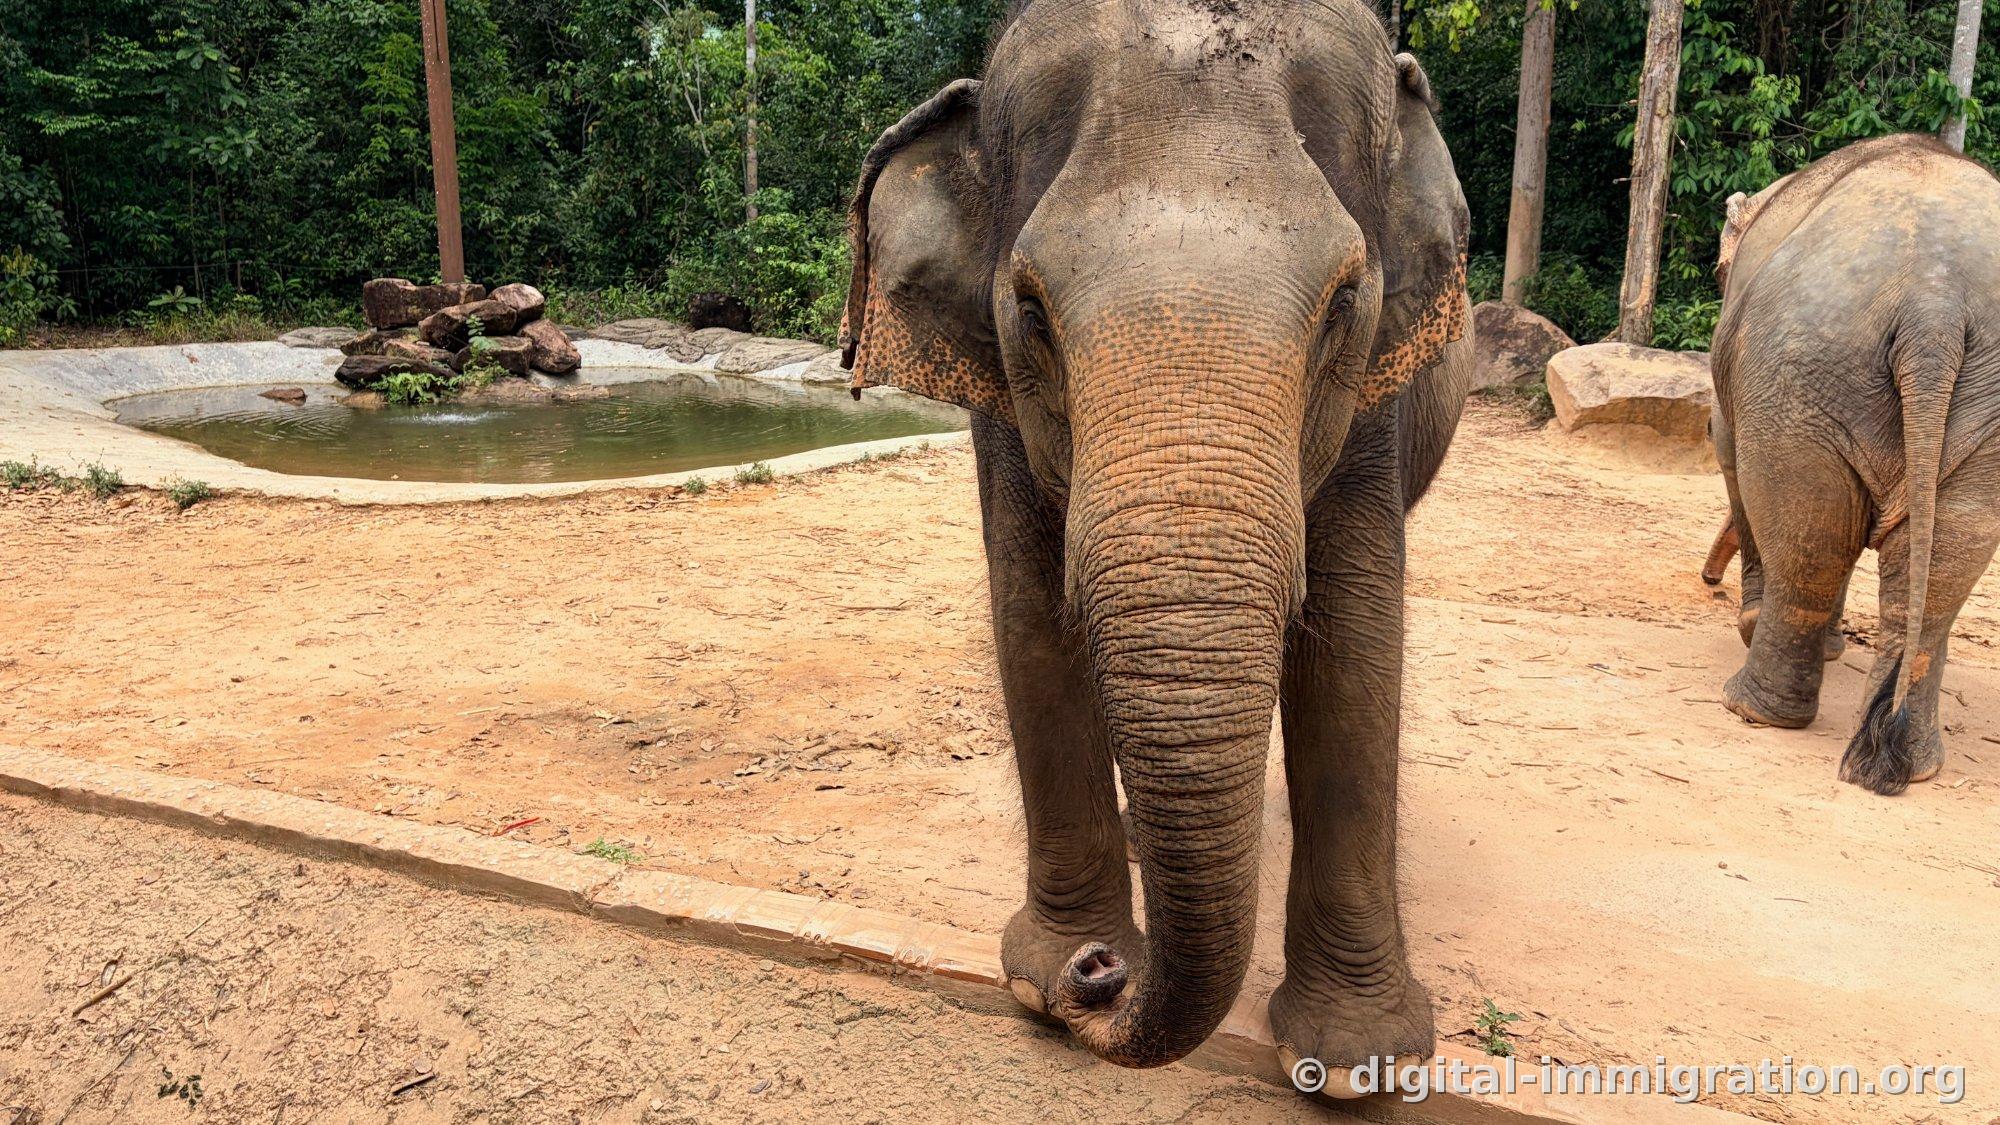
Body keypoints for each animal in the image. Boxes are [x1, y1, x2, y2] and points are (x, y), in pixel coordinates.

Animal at [839, 0, 1474, 1078]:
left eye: (1343, 300)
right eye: (1030, 308)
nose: (1098, 977)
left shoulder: (1370, 409)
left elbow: (1354, 640)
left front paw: (1355, 1064)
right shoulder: (1000, 404)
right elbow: (1029, 616)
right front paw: (1040, 977)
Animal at [1710, 133, 2000, 796]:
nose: (1708, 582)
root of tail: (1934, 306)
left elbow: (1731, 455)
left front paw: (1754, 625)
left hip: (1798, 374)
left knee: (1808, 534)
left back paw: (1751, 708)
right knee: (1944, 557)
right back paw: (1905, 761)